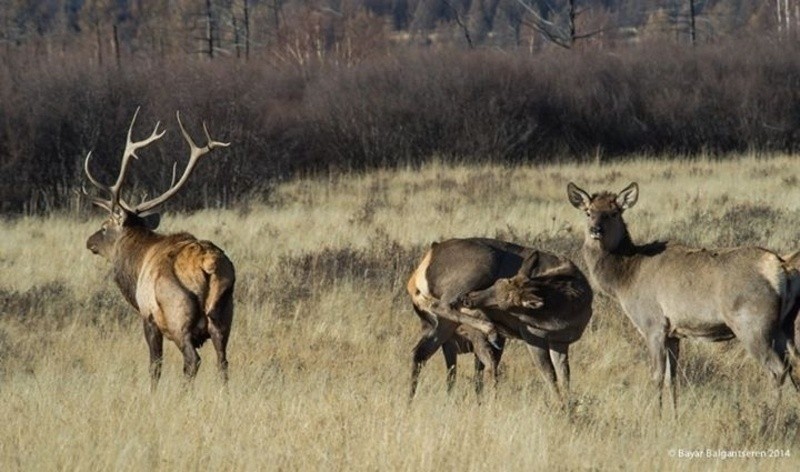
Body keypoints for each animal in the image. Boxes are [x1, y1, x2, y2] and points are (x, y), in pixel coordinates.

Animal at [83, 109, 234, 390]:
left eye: (105, 226)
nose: (90, 241)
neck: (136, 263)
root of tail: (207, 264)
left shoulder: (148, 316)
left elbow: (155, 366)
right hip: (224, 315)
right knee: (223, 362)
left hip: (177, 315)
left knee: (192, 360)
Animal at [410, 238, 592, 404]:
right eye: (496, 283)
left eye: (503, 302)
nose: (468, 299)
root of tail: (417, 276)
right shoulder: (531, 336)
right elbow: (548, 372)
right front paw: (560, 407)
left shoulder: (560, 342)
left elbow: (564, 375)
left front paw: (568, 405)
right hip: (479, 266)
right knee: (442, 307)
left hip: (442, 324)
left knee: (421, 352)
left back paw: (410, 401)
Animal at [568, 182, 800, 412]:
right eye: (588, 212)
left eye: (614, 212)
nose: (595, 230)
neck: (624, 280)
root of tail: (782, 267)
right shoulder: (674, 333)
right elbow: (672, 379)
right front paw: (674, 415)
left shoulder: (653, 325)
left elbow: (657, 376)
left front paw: (657, 414)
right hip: (785, 325)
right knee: (793, 365)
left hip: (753, 325)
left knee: (777, 369)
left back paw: (772, 414)